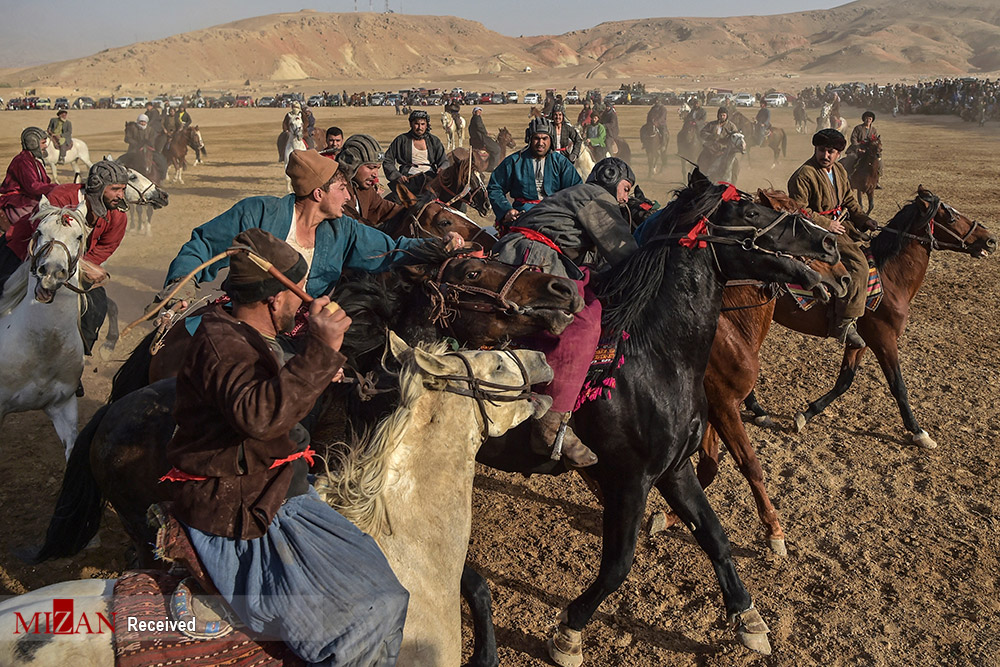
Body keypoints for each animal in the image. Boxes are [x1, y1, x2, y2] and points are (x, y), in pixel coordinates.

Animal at [680, 188, 992, 552]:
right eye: (951, 216)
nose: (989, 239)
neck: (890, 278)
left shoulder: (861, 341)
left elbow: (845, 380)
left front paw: (806, 414)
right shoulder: (884, 338)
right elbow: (897, 386)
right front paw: (918, 432)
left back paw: (759, 410)